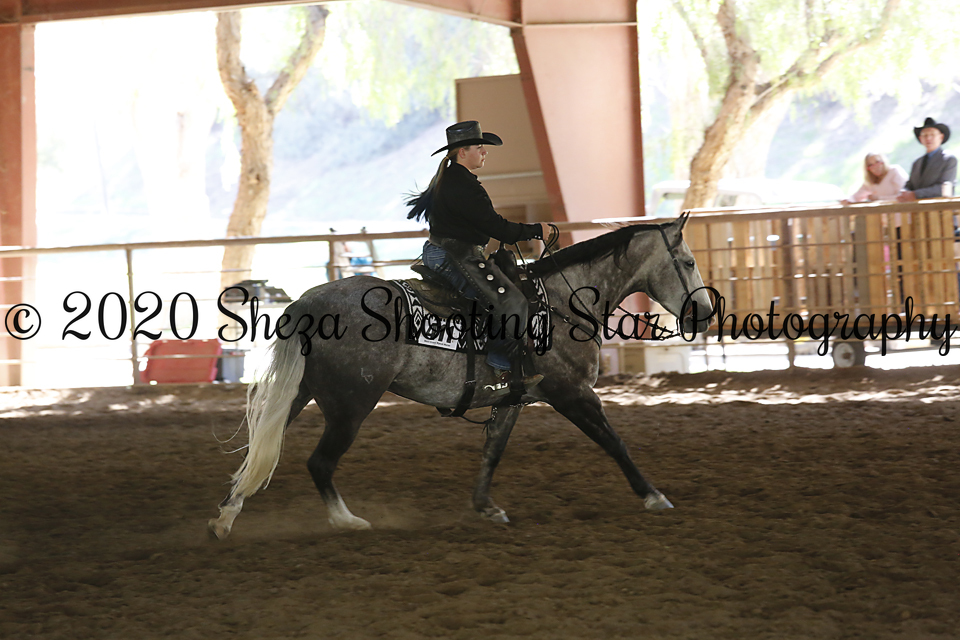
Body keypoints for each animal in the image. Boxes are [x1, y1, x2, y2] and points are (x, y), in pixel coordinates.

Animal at [209, 212, 713, 539]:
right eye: (688, 263)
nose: (705, 314)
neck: (559, 305)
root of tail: (308, 303)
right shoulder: (572, 393)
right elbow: (614, 442)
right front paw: (654, 496)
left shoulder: (512, 401)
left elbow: (492, 453)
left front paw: (486, 508)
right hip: (351, 406)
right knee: (320, 462)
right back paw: (347, 521)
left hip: (300, 393)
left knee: (257, 452)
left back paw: (224, 519)